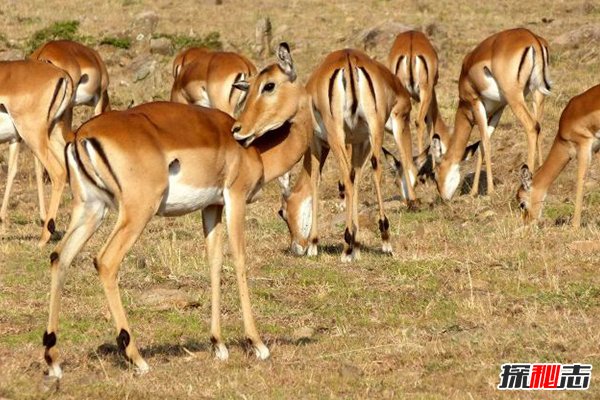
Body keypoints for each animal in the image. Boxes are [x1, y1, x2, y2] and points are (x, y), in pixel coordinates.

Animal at [0, 60, 73, 244]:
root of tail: (62, 74)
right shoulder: (14, 139)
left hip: (33, 136)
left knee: (58, 173)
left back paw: (43, 238)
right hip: (52, 133)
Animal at [43, 43, 310, 378]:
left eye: (269, 84)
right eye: (261, 85)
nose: (240, 130)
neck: (258, 153)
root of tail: (81, 136)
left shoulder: (212, 207)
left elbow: (214, 263)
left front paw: (218, 345)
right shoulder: (235, 198)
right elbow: (239, 259)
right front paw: (257, 344)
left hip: (91, 209)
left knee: (59, 257)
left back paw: (53, 360)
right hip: (136, 212)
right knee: (105, 261)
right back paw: (137, 358)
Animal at [278, 48, 414, 260]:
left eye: (282, 212)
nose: (295, 247)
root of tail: (349, 59)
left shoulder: (316, 143)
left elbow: (316, 181)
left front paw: (314, 245)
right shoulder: (361, 142)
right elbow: (355, 179)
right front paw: (356, 245)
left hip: (337, 136)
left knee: (346, 179)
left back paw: (347, 245)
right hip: (375, 131)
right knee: (375, 172)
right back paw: (384, 240)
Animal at [434, 28, 552, 200]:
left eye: (435, 173)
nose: (443, 198)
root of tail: (532, 38)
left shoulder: (476, 103)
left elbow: (486, 142)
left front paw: (489, 191)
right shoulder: (499, 109)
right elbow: (482, 145)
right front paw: (473, 192)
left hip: (514, 96)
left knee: (531, 127)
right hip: (538, 93)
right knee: (539, 128)